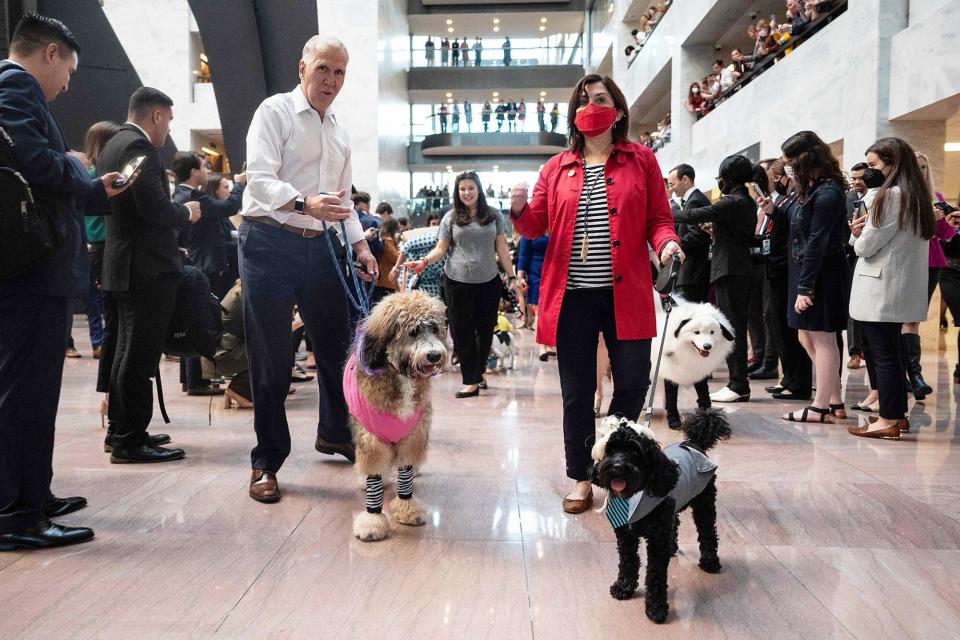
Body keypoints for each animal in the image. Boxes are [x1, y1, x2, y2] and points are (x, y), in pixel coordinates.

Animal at [344, 292, 448, 544]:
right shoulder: (371, 440)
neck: (402, 376)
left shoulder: (412, 436)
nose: (434, 355)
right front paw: (372, 520)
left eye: (434, 328)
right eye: (413, 331)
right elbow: (373, 474)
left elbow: (406, 473)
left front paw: (408, 507)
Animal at [588, 408, 732, 624]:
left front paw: (656, 608)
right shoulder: (626, 536)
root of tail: (694, 442)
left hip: (704, 503)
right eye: (610, 451)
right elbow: (628, 561)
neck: (633, 497)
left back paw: (710, 562)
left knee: (707, 532)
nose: (616, 467)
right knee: (676, 523)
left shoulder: (656, 539)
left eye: (635, 452)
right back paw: (672, 548)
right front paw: (624, 587)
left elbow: (655, 574)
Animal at [652, 296, 736, 430]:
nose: (707, 346)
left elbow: (704, 394)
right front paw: (673, 420)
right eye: (696, 332)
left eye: (712, 332)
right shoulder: (670, 371)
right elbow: (671, 397)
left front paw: (708, 417)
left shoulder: (699, 372)